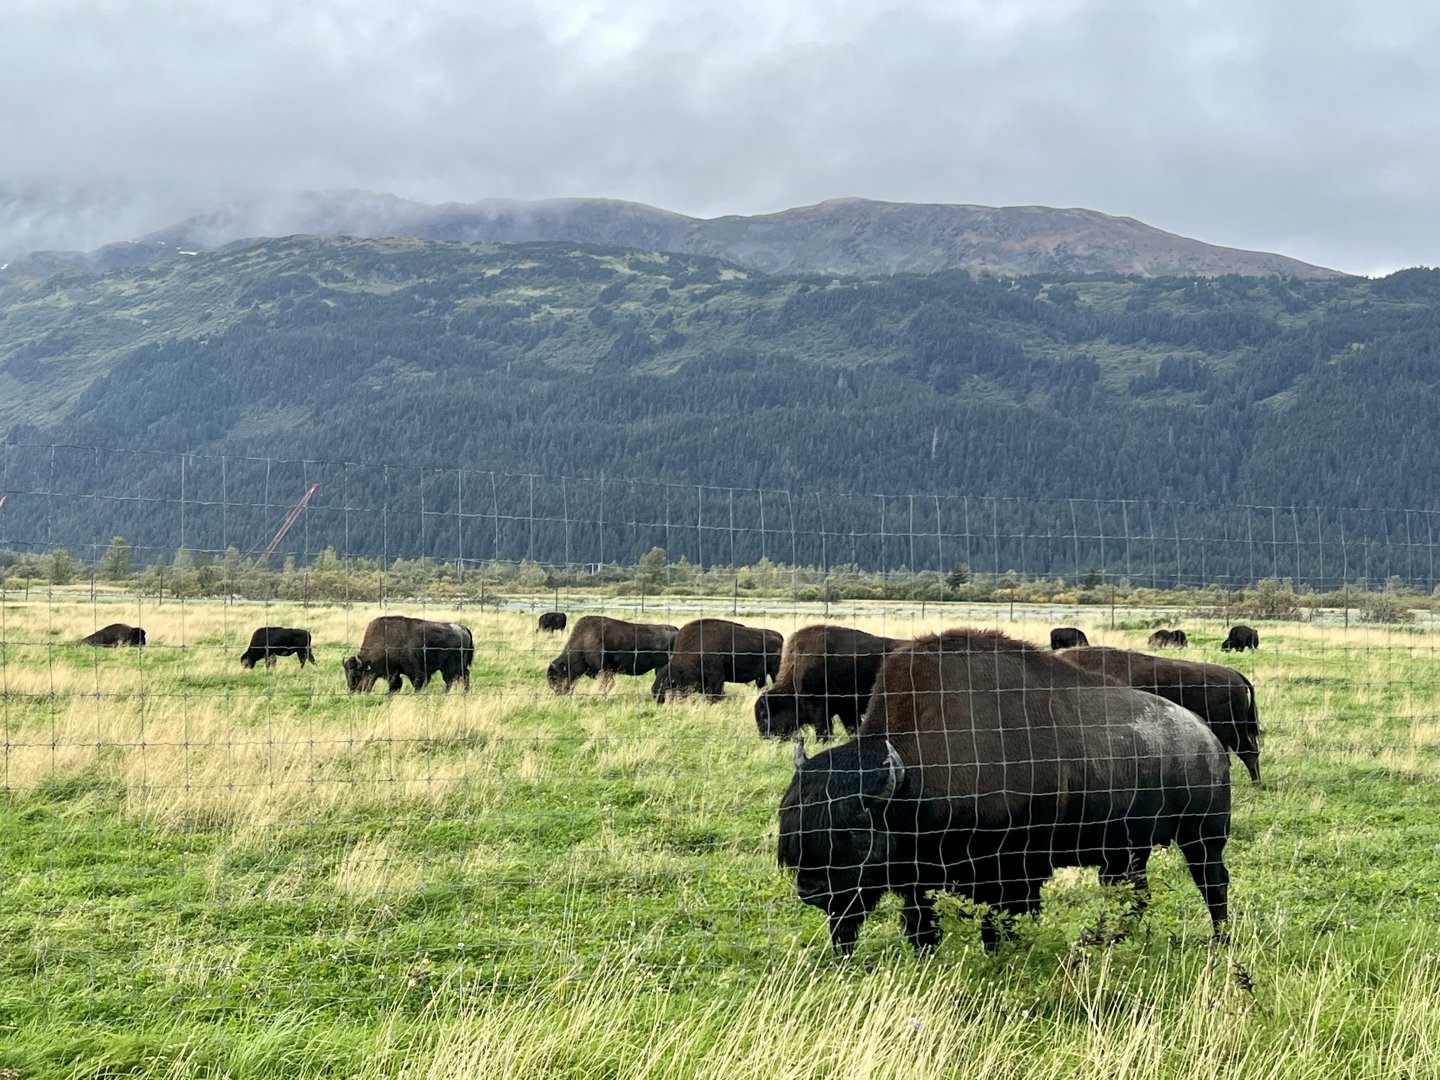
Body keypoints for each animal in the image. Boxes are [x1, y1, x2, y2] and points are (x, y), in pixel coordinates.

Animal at [342, 616, 473, 693]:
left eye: (356, 675)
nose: (353, 691)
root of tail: (463, 629)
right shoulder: (393, 672)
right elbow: (395, 684)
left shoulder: (414, 671)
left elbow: (418, 682)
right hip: (455, 666)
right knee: (462, 676)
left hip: (451, 667)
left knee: (452, 679)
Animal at [651, 619, 784, 703]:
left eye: (670, 683)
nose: (657, 697)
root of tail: (780, 638)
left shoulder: (716, 678)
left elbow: (713, 694)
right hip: (762, 676)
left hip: (775, 672)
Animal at [755, 625, 904, 742]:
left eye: (765, 715)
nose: (765, 737)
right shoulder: (847, 710)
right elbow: (852, 729)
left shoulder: (821, 710)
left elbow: (824, 732)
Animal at [779, 628, 1231, 954]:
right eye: (792, 821)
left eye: (856, 832)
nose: (810, 890)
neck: (909, 783)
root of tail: (1207, 739)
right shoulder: (920, 878)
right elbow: (921, 926)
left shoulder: (1013, 872)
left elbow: (1001, 923)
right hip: (1126, 851)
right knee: (1134, 894)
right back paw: (1114, 940)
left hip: (1202, 838)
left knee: (1213, 884)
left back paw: (1219, 941)